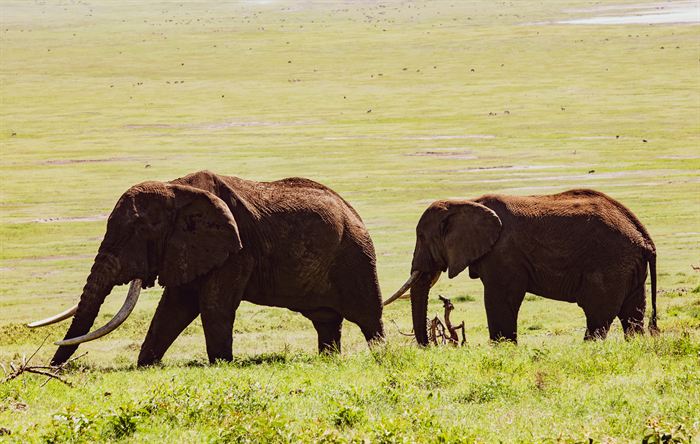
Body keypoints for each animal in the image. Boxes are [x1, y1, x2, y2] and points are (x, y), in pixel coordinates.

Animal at [28, 170, 385, 366]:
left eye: (136, 233)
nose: (54, 368)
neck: (175, 188)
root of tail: (352, 210)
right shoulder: (189, 248)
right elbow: (174, 307)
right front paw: (145, 365)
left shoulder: (236, 250)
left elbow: (212, 305)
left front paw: (222, 365)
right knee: (326, 321)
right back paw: (328, 359)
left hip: (355, 255)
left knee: (368, 318)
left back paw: (383, 356)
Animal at [384, 189, 657, 345]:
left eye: (421, 237)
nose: (428, 346)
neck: (465, 202)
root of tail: (645, 238)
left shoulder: (503, 254)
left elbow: (502, 299)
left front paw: (503, 348)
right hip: (628, 268)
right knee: (632, 315)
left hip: (610, 265)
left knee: (597, 316)